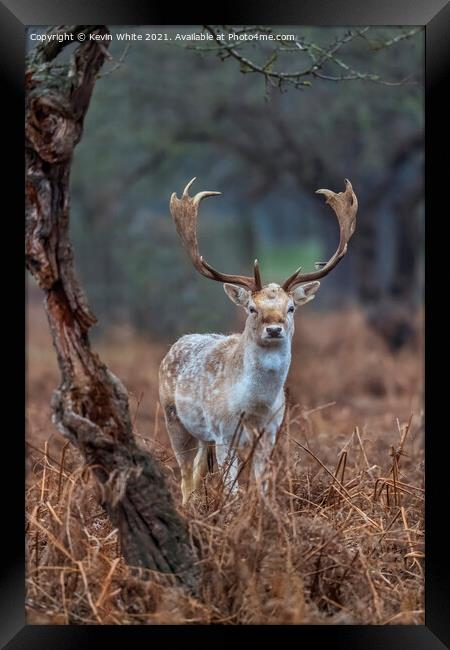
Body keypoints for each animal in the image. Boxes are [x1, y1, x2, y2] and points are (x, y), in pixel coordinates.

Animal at [160, 178, 356, 506]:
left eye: (291, 308)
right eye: (252, 308)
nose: (274, 329)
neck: (254, 408)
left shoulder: (271, 431)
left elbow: (261, 486)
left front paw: (264, 513)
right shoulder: (223, 431)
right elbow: (232, 490)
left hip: (202, 435)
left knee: (198, 471)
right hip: (174, 418)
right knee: (186, 478)